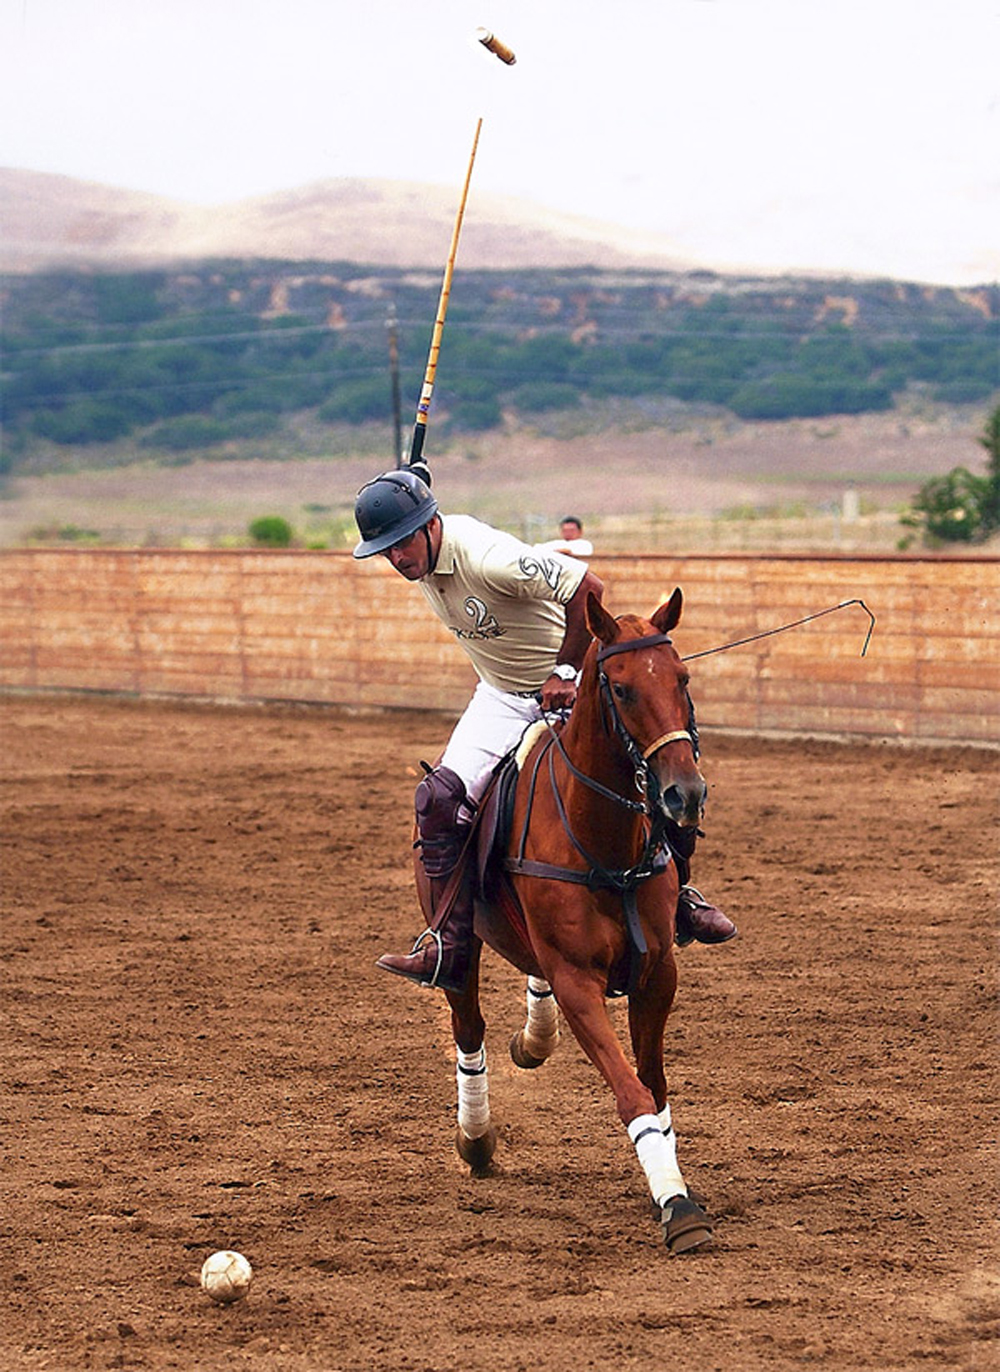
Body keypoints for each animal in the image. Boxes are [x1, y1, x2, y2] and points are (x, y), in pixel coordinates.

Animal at [416, 586, 714, 1254]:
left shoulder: (658, 974)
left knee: (531, 982)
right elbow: (631, 1092)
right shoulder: (579, 981)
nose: (683, 794)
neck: (605, 842)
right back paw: (476, 1138)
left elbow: (654, 1085)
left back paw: (533, 1037)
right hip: (458, 946)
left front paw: (670, 1186)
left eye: (682, 678)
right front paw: (679, 1207)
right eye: (621, 688)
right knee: (468, 1025)